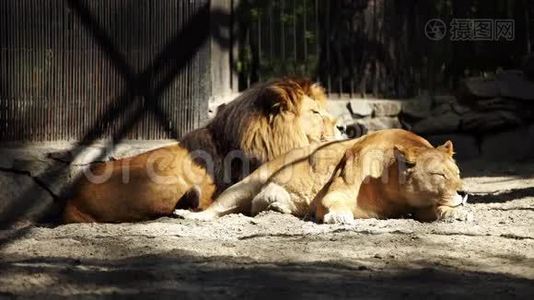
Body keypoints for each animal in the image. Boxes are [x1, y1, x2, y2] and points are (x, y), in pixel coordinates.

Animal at [174, 127, 472, 224]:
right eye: (439, 175)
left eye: (457, 174)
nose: (464, 192)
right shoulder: (338, 188)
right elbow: (334, 203)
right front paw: (339, 217)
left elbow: (437, 210)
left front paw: (457, 212)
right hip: (244, 185)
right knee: (214, 208)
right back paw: (188, 215)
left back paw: (275, 206)